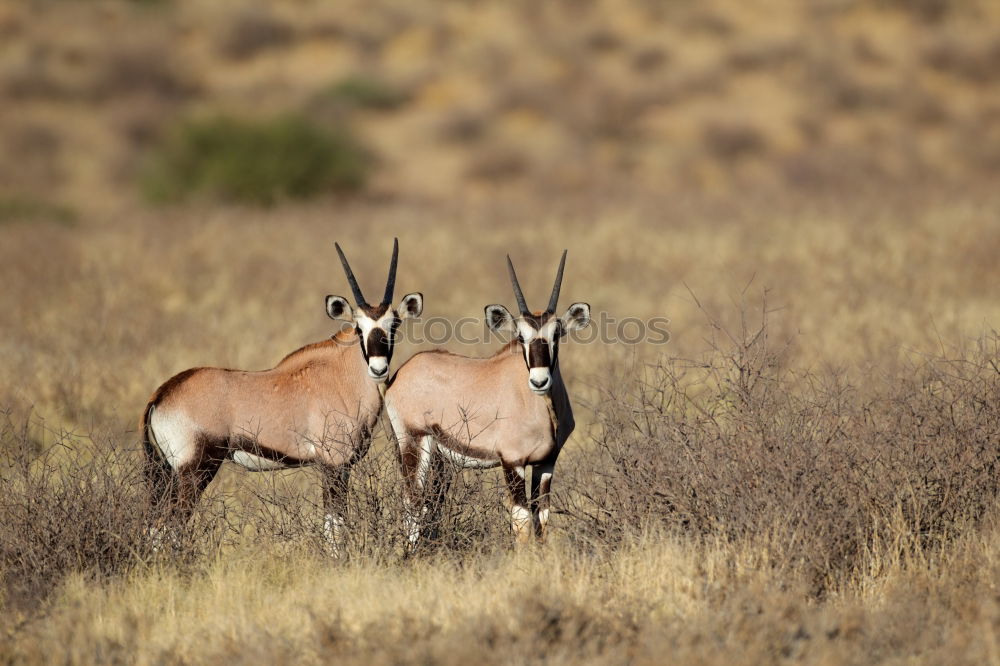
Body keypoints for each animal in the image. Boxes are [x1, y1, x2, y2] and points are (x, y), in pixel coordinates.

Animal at [141, 239, 422, 544]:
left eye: (394, 325)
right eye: (359, 328)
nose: (379, 368)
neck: (340, 375)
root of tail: (162, 394)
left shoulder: (340, 467)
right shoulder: (334, 464)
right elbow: (334, 529)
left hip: (171, 473)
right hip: (195, 470)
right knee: (165, 528)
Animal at [382, 250, 584, 544]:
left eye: (556, 333)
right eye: (520, 336)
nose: (539, 381)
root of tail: (402, 372)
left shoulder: (547, 462)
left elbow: (542, 518)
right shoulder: (512, 461)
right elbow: (522, 522)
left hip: (439, 456)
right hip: (414, 442)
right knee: (413, 503)